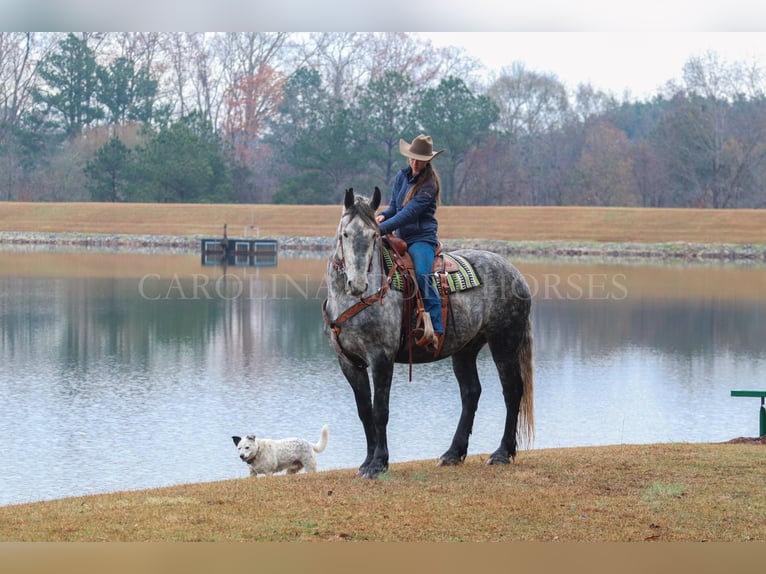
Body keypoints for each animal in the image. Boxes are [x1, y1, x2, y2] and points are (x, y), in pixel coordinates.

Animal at [322, 189, 536, 482]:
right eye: (345, 234)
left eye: (374, 235)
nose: (357, 284)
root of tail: (514, 272)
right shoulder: (348, 362)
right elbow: (364, 411)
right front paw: (366, 462)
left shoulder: (381, 357)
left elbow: (380, 410)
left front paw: (379, 463)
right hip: (465, 349)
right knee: (471, 393)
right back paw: (453, 453)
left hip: (503, 343)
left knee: (512, 390)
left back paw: (502, 453)